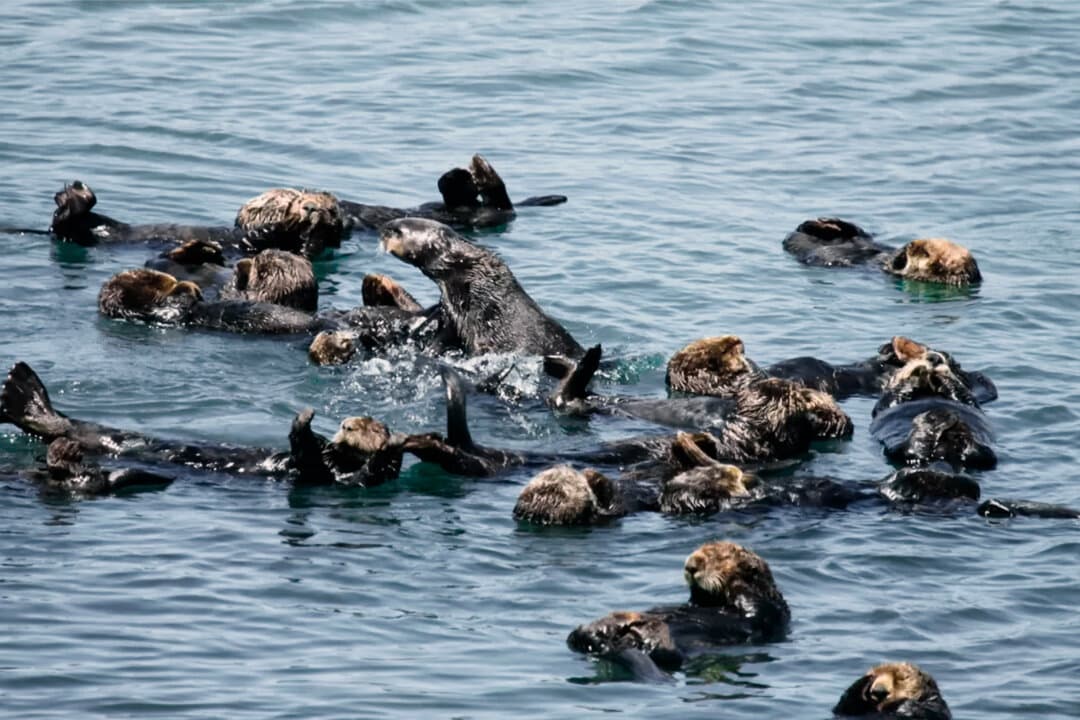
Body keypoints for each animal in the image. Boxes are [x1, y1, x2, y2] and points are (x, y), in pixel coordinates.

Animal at [567, 541, 790, 678]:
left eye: (716, 558)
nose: (690, 566)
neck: (716, 602)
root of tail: (607, 646)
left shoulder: (769, 610)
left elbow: (749, 600)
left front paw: (738, 572)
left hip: (668, 652)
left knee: (663, 652)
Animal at [784, 217, 981, 285]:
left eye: (926, 253)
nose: (911, 244)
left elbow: (897, 266)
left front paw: (902, 255)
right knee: (855, 231)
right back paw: (828, 222)